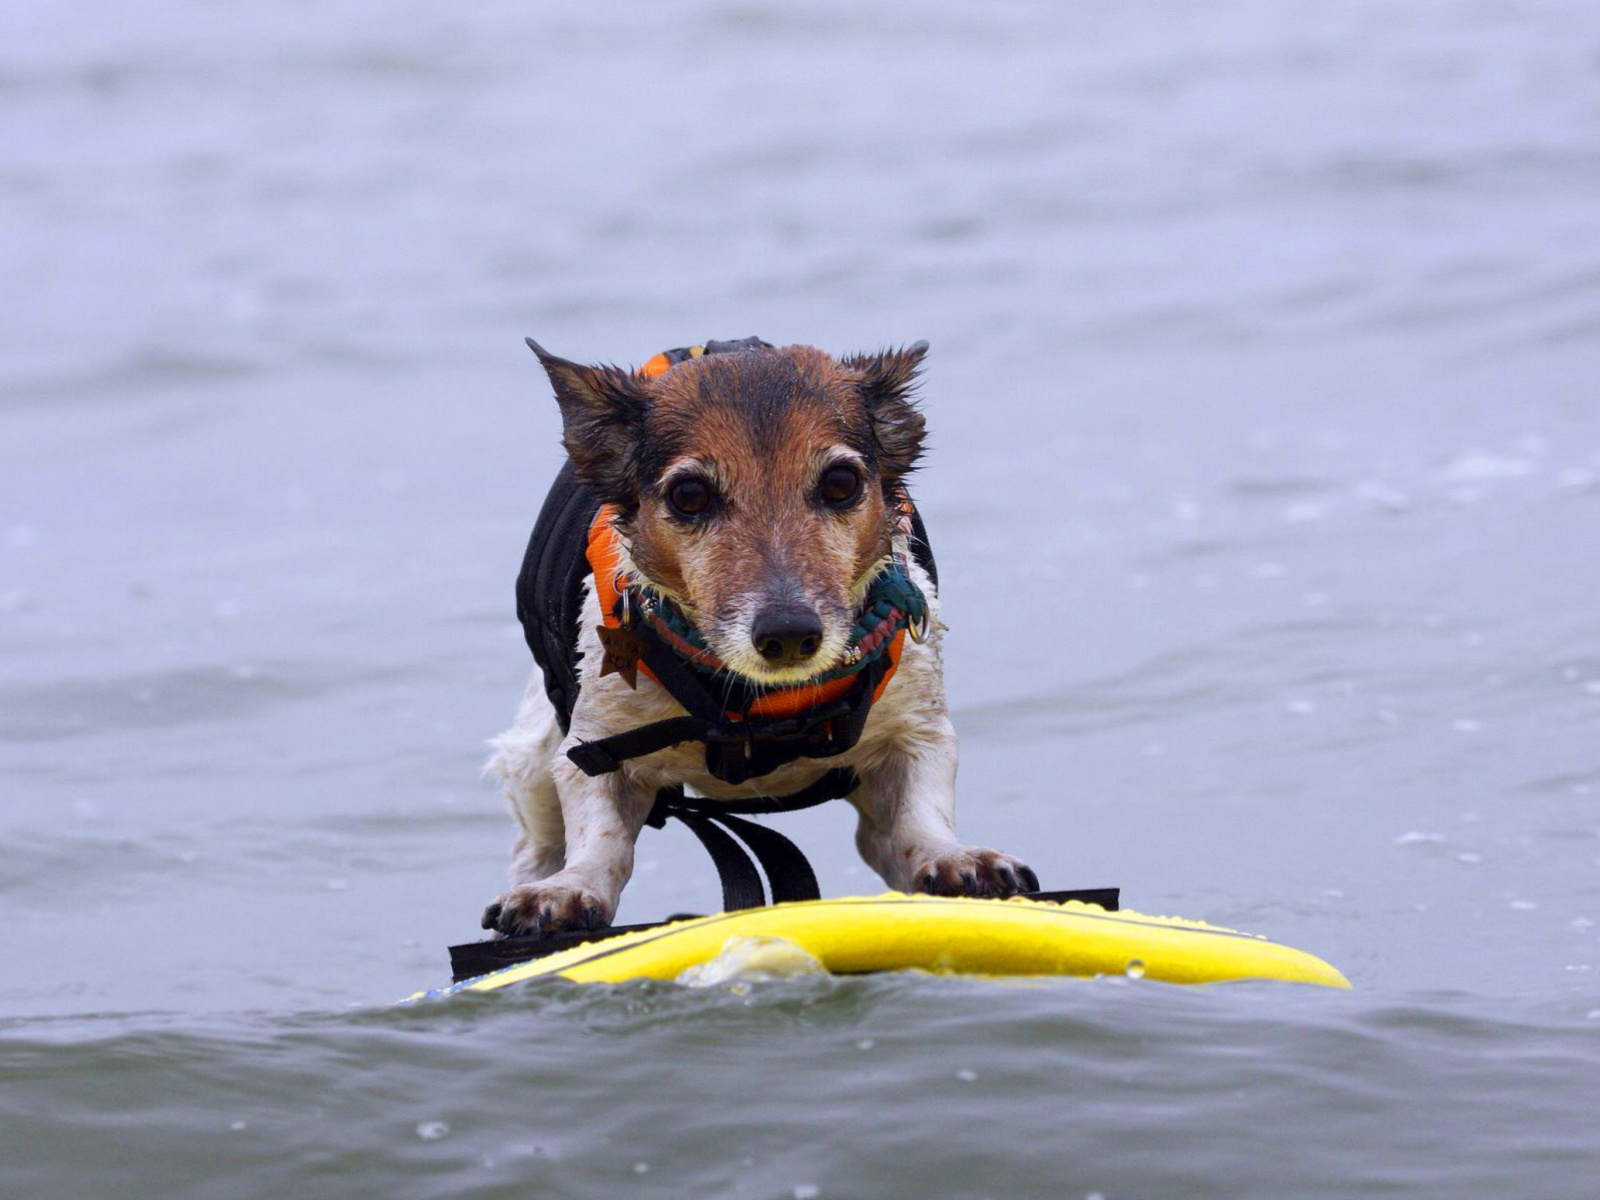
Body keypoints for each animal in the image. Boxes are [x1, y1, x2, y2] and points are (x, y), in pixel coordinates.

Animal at [480, 339, 1036, 940]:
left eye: (840, 483)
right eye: (690, 494)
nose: (789, 634)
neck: (764, 704)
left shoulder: (915, 728)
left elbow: (920, 815)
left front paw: (952, 856)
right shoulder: (596, 745)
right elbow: (598, 835)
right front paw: (569, 887)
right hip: (534, 754)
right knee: (537, 841)